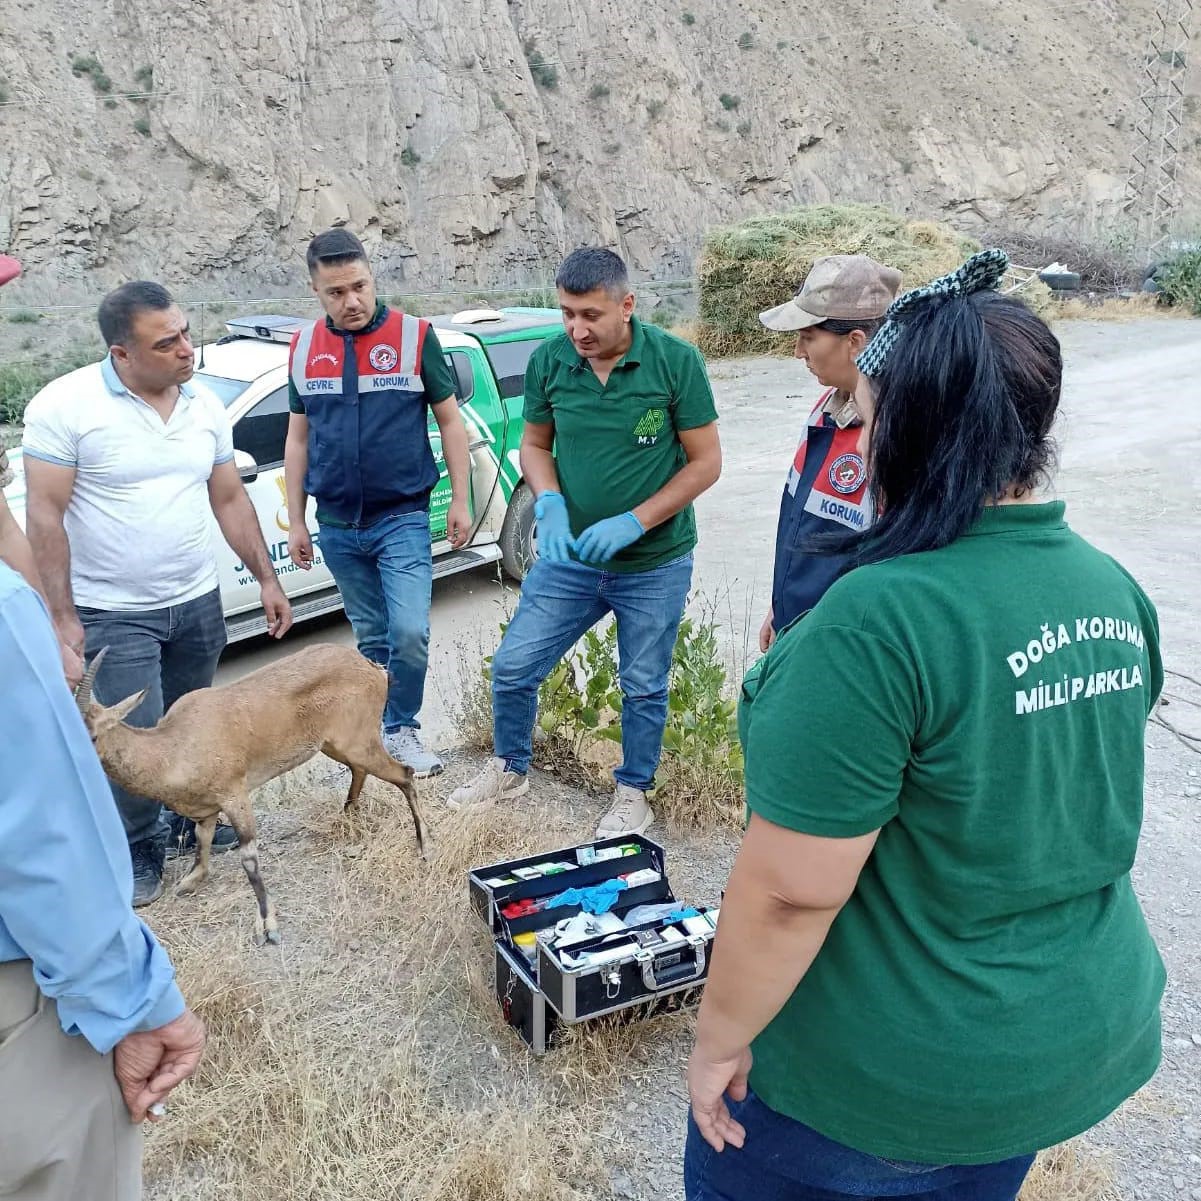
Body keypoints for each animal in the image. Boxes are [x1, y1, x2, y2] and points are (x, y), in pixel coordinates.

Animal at [72, 643, 425, 941]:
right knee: (360, 771)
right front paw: (188, 884)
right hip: (335, 744)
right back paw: (348, 817)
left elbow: (249, 859)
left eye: (92, 736)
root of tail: (374, 669)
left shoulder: (235, 795)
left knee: (405, 774)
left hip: (359, 741)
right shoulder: (207, 809)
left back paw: (422, 846)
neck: (172, 746)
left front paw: (268, 927)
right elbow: (201, 842)